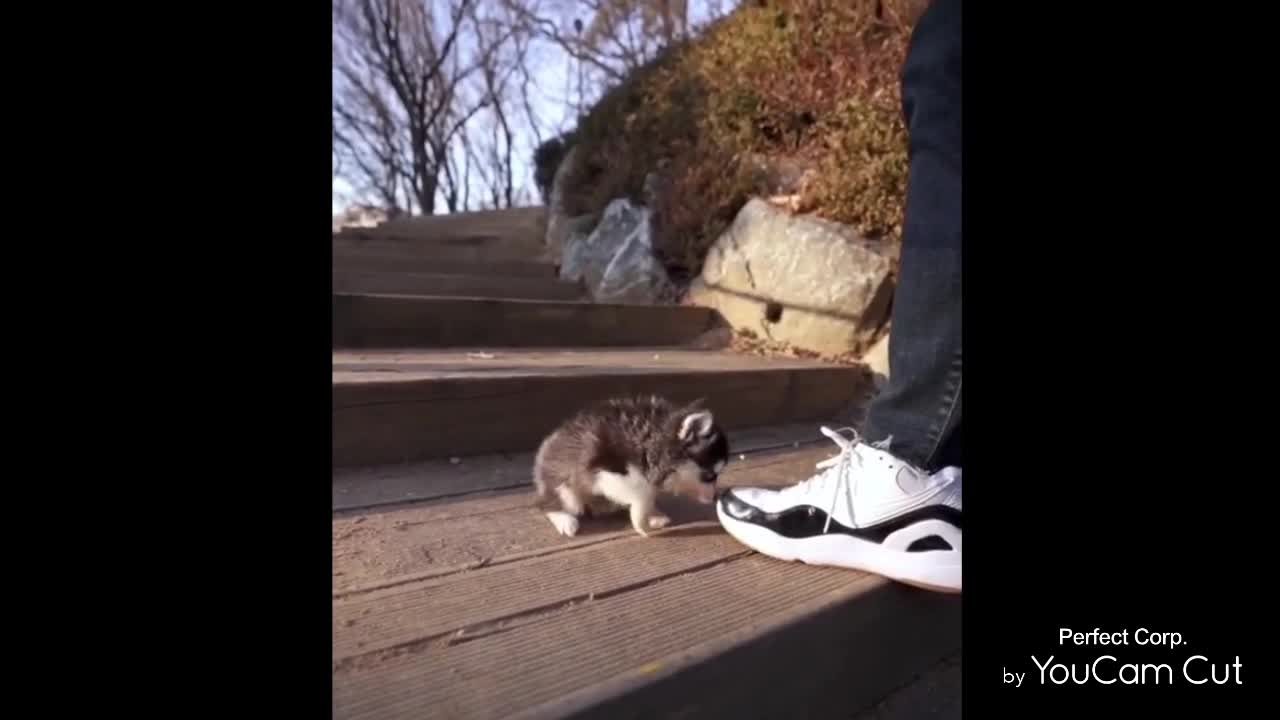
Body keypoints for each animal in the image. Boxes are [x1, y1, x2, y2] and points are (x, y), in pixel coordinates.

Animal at [529, 394, 732, 535]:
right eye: (709, 476)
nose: (714, 498)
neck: (652, 441)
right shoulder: (607, 469)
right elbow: (642, 494)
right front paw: (641, 521)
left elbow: (648, 493)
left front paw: (652, 513)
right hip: (564, 488)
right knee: (547, 503)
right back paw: (563, 518)